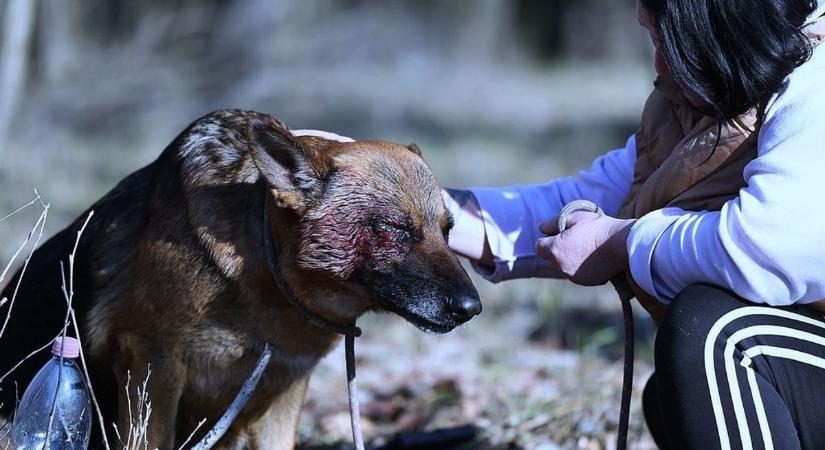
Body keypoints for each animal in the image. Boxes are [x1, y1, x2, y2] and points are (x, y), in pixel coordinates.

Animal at [0, 110, 480, 450]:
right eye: (395, 229)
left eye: (448, 231)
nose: (471, 309)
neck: (265, 276)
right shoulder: (151, 368)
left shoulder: (286, 391)